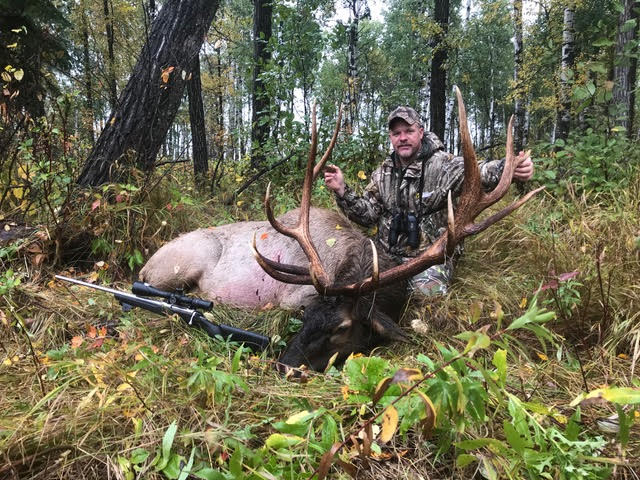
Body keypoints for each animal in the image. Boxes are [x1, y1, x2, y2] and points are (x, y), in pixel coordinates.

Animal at [139, 87, 543, 372]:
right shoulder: (289, 296)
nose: (284, 366)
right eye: (306, 316)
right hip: (180, 264)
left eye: (342, 328)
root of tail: (146, 264)